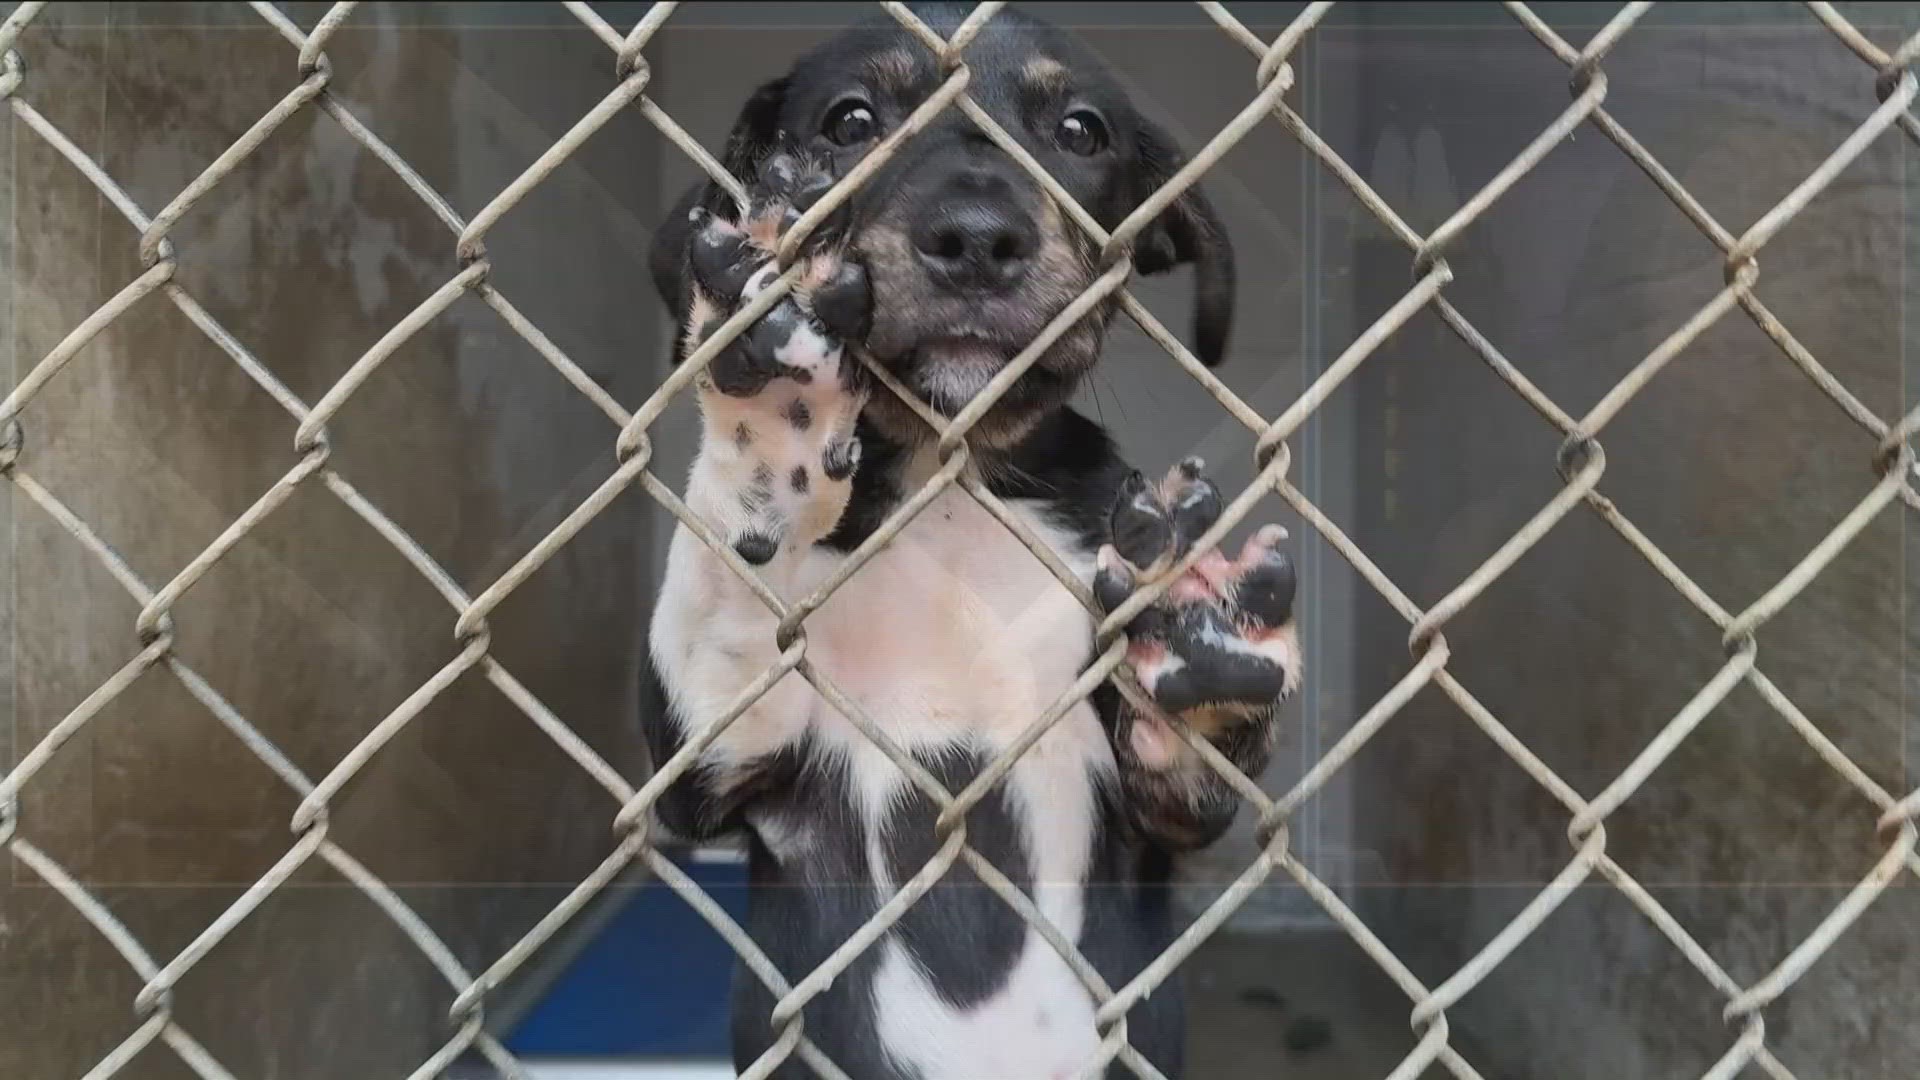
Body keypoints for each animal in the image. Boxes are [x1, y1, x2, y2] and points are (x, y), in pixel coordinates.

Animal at [645, 4, 1305, 1068]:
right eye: (850, 120)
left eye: (1079, 132)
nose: (977, 240)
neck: (948, 481)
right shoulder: (716, 766)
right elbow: (727, 578)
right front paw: (773, 393)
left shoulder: (1159, 819)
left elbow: (1188, 768)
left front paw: (1196, 637)